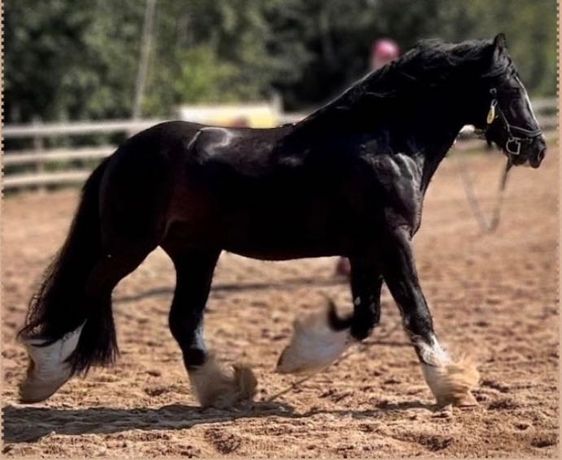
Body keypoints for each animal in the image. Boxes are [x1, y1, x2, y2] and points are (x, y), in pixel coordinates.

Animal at [17, 36, 544, 408]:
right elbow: (416, 312)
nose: (537, 148)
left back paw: (224, 389)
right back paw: (43, 378)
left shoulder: (364, 251)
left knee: (181, 320)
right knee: (87, 294)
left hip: (195, 253)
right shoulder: (390, 242)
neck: (385, 143)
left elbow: (365, 319)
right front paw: (451, 386)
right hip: (129, 246)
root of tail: (119, 154)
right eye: (510, 88)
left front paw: (295, 358)